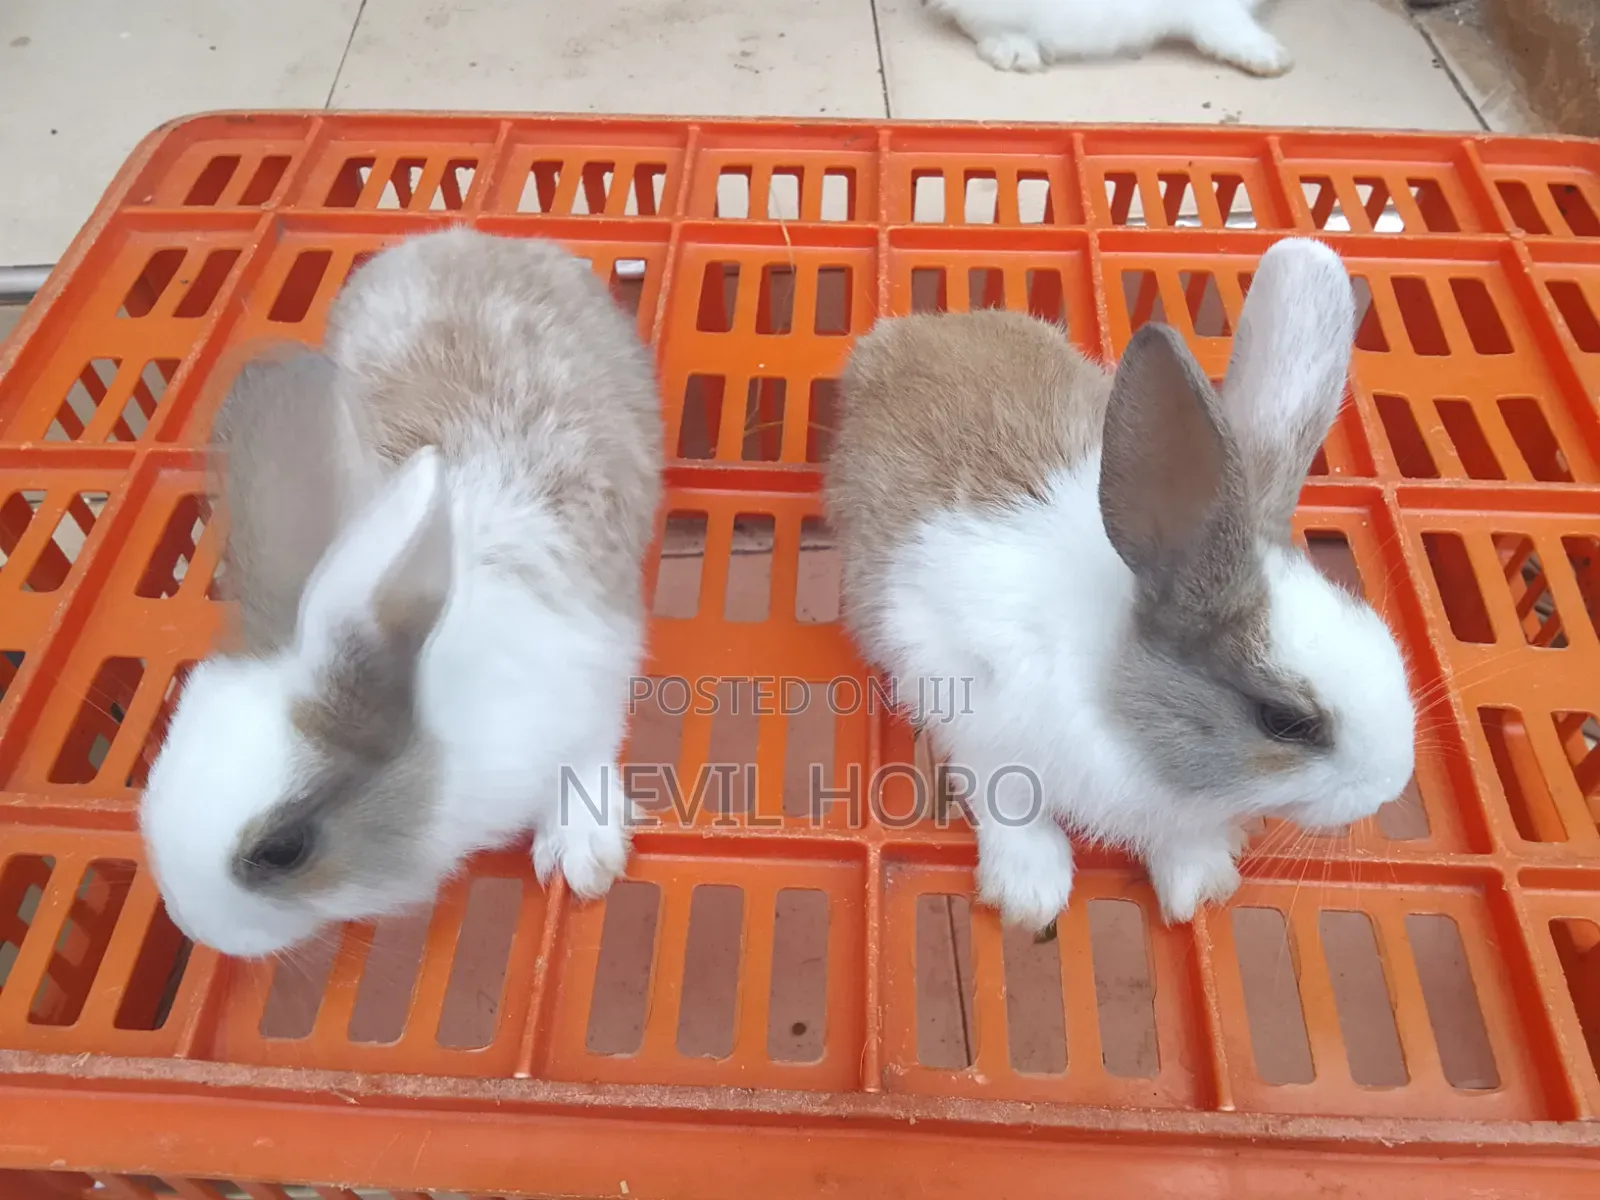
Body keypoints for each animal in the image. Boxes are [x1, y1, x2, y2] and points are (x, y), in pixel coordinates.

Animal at [139, 228, 663, 958]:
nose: (193, 927)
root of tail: (467, 238)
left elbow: (586, 759)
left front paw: (584, 855)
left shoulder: (593, 689)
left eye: (283, 849)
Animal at [824, 238, 1414, 931]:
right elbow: (1010, 805)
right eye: (1285, 722)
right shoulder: (978, 721)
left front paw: (1200, 884)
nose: (1390, 785)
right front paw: (1030, 895)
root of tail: (907, 331)